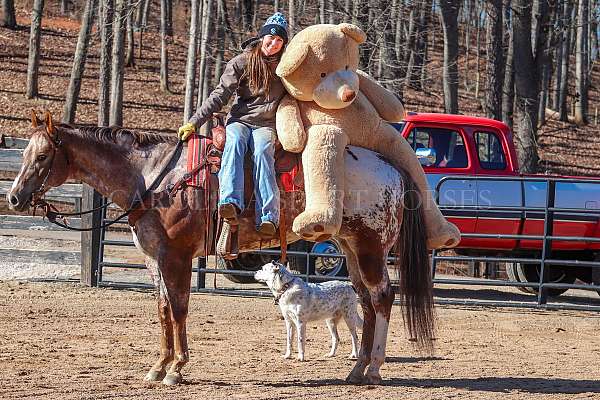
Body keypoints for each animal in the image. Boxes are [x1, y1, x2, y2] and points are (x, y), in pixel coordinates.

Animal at [7, 111, 434, 384]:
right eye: (24, 153)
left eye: (42, 156)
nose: (13, 198)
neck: (154, 178)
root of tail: (391, 167)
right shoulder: (153, 259)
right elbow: (163, 310)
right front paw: (159, 366)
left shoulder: (177, 257)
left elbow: (179, 309)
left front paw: (177, 369)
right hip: (350, 247)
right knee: (365, 300)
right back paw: (357, 369)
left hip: (371, 247)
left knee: (382, 297)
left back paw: (374, 368)